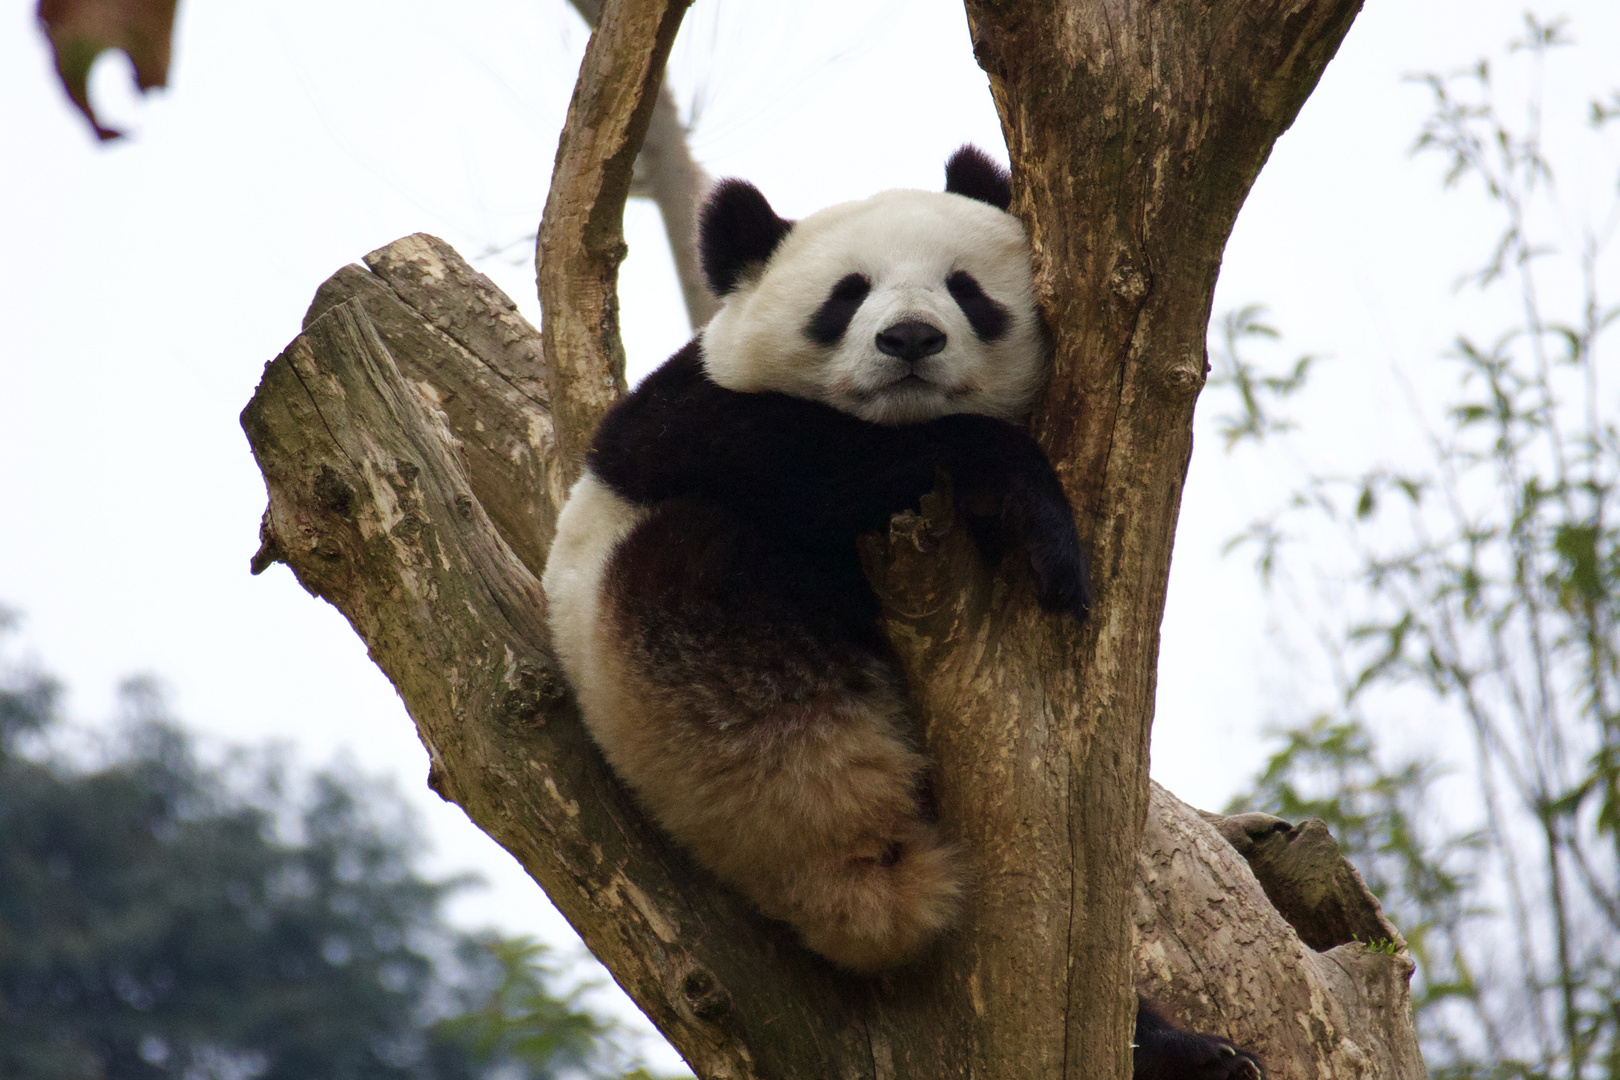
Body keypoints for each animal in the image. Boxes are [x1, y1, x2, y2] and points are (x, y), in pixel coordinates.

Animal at [544, 145, 1263, 1080]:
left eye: (966, 288)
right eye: (847, 293)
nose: (911, 339)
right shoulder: (676, 421)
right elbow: (785, 453)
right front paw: (1037, 517)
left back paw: (1198, 1053)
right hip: (676, 673)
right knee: (716, 568)